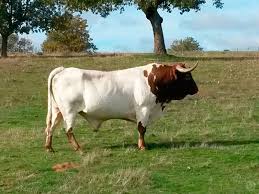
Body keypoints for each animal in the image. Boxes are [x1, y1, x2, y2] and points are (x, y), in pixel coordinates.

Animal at [44, 62, 199, 152]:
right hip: (69, 111)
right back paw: (78, 148)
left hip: (57, 110)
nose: (196, 89)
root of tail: (63, 69)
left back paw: (49, 148)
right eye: (187, 76)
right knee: (68, 130)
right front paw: (142, 146)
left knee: (50, 128)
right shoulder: (143, 109)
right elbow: (142, 129)